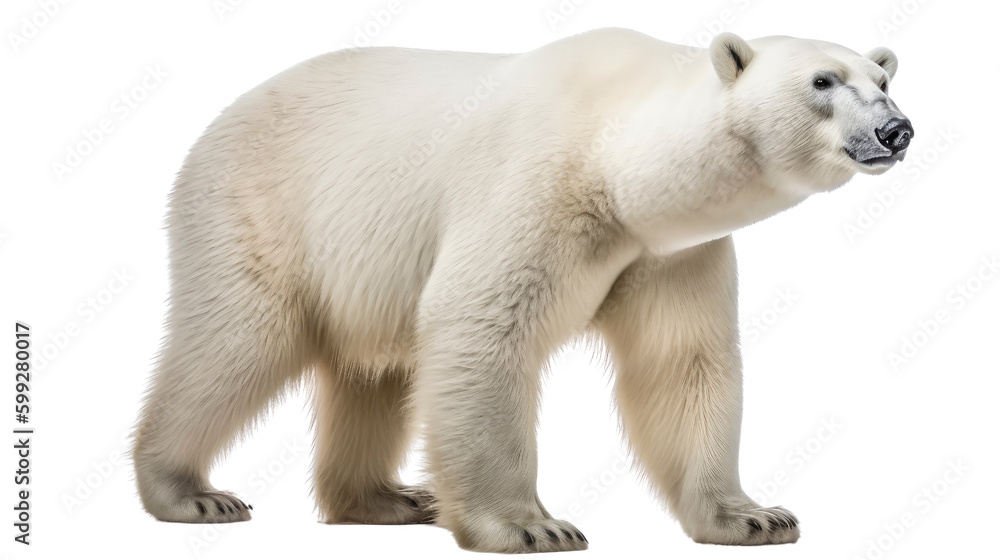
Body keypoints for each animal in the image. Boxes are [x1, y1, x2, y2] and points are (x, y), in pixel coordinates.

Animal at [132, 28, 912, 553]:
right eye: (823, 81)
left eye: (884, 78)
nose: (895, 129)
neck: (616, 155)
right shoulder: (534, 187)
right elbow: (482, 327)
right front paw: (532, 526)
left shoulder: (669, 252)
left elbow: (683, 361)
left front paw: (753, 515)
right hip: (259, 209)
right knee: (236, 342)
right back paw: (191, 493)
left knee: (374, 371)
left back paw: (390, 498)